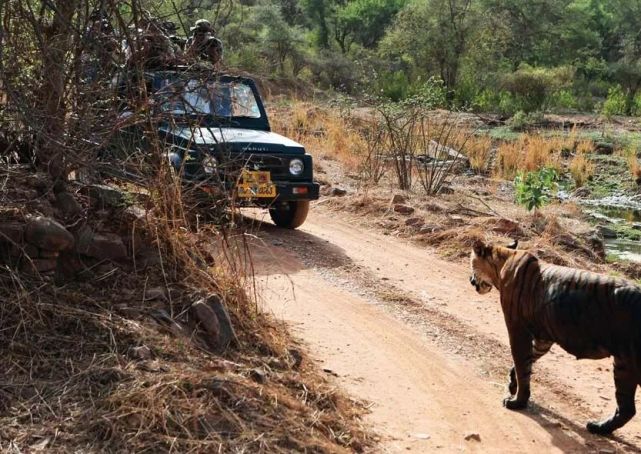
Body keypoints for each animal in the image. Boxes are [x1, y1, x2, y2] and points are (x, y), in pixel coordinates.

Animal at [468, 239, 640, 434]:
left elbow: (521, 365)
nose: (470, 280)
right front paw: (512, 384)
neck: (502, 261)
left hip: (628, 363)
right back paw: (600, 427)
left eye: (471, 264)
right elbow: (525, 364)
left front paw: (518, 401)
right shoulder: (542, 339)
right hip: (624, 364)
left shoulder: (517, 330)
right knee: (627, 408)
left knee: (627, 407)